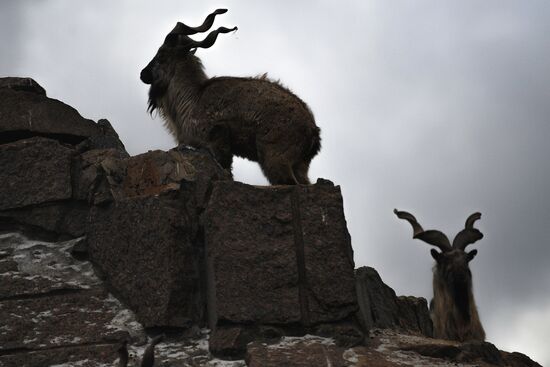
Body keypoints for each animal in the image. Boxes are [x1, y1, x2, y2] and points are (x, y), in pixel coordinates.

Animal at [142, 9, 322, 185]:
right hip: (300, 165)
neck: (194, 97)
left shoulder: (217, 139)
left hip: (275, 157)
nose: (142, 74)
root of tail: (313, 130)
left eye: (161, 56)